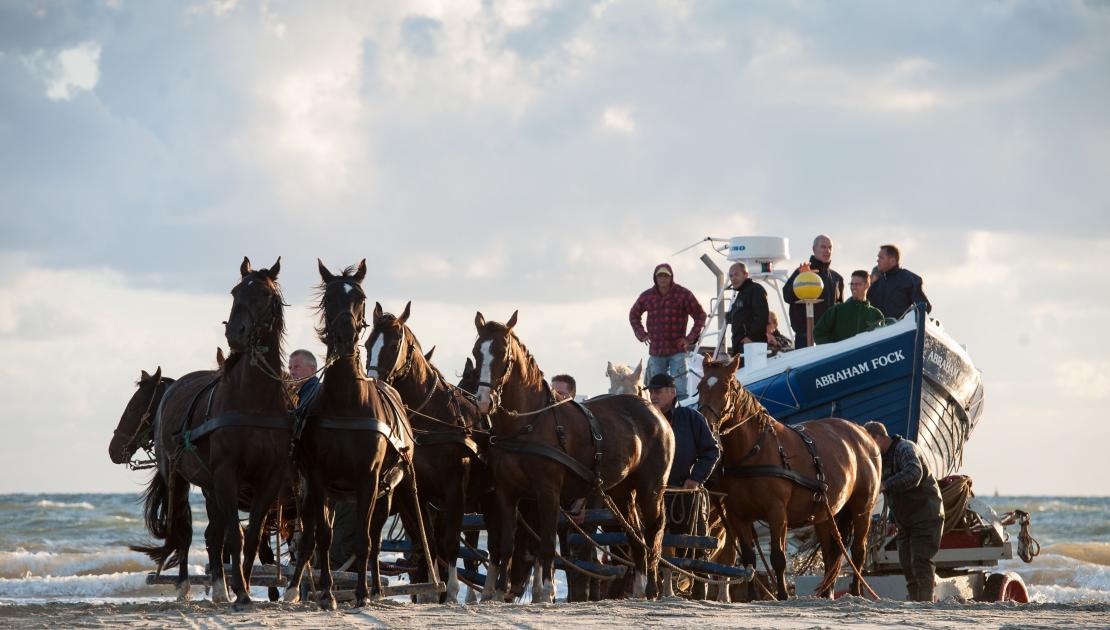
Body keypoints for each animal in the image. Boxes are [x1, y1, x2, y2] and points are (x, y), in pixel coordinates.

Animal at [130, 258, 295, 607]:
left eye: (265, 294)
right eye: (234, 291)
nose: (235, 333)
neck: (254, 401)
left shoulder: (269, 479)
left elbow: (252, 536)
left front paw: (242, 584)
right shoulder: (225, 474)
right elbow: (235, 535)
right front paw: (241, 591)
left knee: (212, 534)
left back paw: (220, 587)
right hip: (178, 476)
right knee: (186, 530)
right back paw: (187, 586)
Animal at [281, 261, 432, 612]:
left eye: (360, 298)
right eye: (329, 298)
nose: (346, 336)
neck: (345, 401)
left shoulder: (369, 478)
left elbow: (364, 540)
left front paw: (362, 592)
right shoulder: (318, 478)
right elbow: (323, 537)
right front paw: (327, 593)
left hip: (388, 490)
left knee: (375, 539)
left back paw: (375, 588)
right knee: (316, 534)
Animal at [364, 301, 490, 603]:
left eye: (393, 344)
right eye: (368, 343)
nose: (372, 382)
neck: (431, 418)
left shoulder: (455, 488)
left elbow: (450, 541)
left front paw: (452, 591)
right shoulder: (418, 493)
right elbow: (430, 541)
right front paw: (433, 591)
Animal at [470, 312, 670, 603]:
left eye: (503, 353)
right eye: (477, 352)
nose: (483, 401)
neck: (526, 425)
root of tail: (655, 412)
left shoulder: (548, 492)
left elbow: (545, 545)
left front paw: (547, 591)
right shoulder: (506, 492)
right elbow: (506, 544)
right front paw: (497, 592)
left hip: (651, 488)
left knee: (653, 530)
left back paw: (653, 587)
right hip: (622, 491)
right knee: (635, 534)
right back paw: (640, 588)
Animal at [697, 354, 879, 598]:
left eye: (725, 388)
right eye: (699, 388)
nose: (705, 423)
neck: (754, 450)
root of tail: (862, 433)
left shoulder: (776, 512)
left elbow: (778, 558)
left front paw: (782, 595)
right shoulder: (738, 516)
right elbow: (749, 560)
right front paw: (753, 598)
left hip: (862, 509)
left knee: (858, 551)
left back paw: (857, 592)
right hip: (826, 514)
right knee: (831, 554)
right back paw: (827, 594)